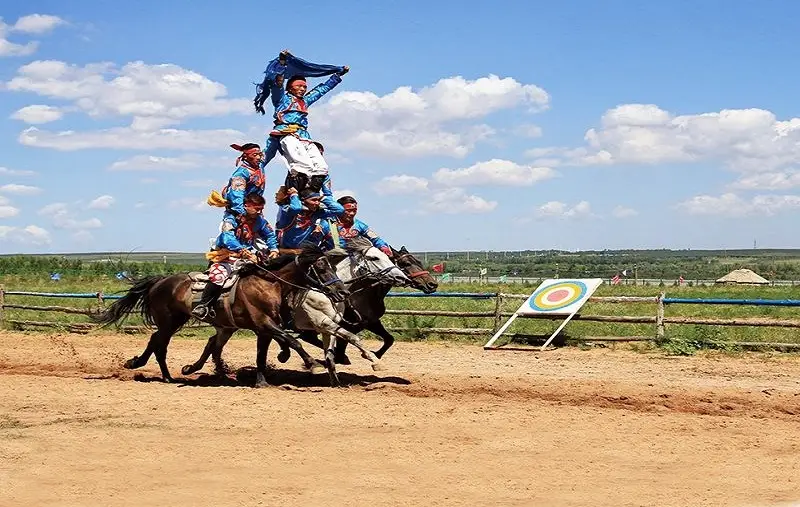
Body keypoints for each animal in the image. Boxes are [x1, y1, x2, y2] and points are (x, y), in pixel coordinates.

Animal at [93, 244, 346, 386]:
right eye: (321, 268)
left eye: (332, 266)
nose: (341, 291)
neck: (267, 284)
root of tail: (160, 281)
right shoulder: (265, 323)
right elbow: (293, 341)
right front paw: (312, 363)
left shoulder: (264, 329)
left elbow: (263, 354)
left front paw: (262, 381)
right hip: (168, 321)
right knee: (159, 343)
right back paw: (161, 373)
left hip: (179, 321)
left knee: (160, 342)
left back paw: (151, 368)